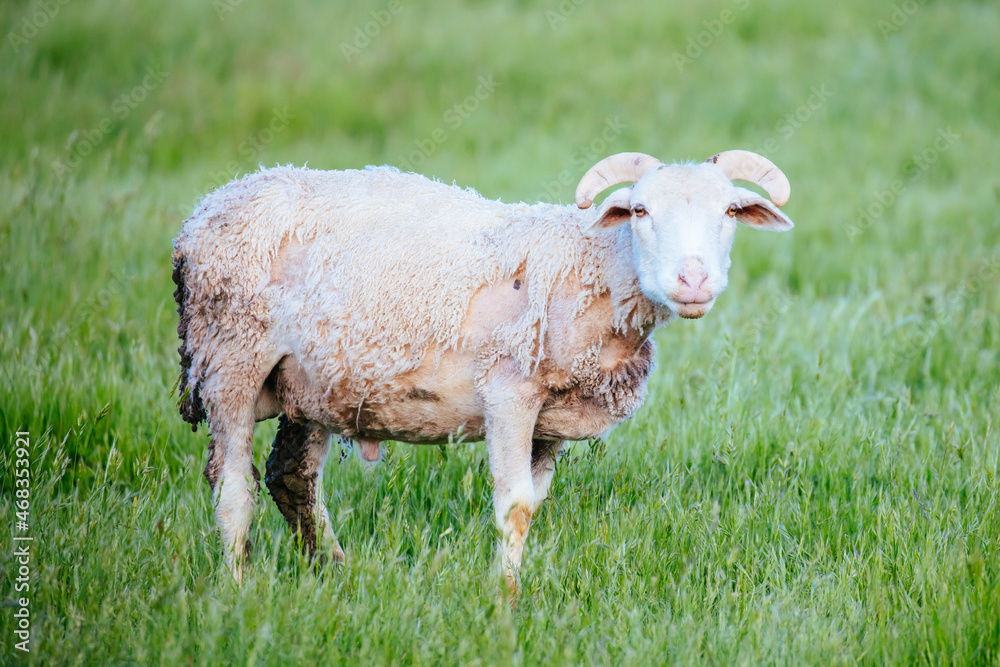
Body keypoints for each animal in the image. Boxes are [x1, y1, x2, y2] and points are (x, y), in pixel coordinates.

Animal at [172, 149, 794, 591]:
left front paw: (512, 587)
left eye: (730, 212)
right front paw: (505, 602)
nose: (693, 280)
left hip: (310, 383)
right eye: (640, 211)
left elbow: (532, 504)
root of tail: (204, 212)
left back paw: (334, 573)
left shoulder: (549, 419)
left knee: (292, 477)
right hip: (231, 359)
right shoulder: (509, 393)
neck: (590, 269)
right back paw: (238, 590)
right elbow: (514, 505)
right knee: (233, 489)